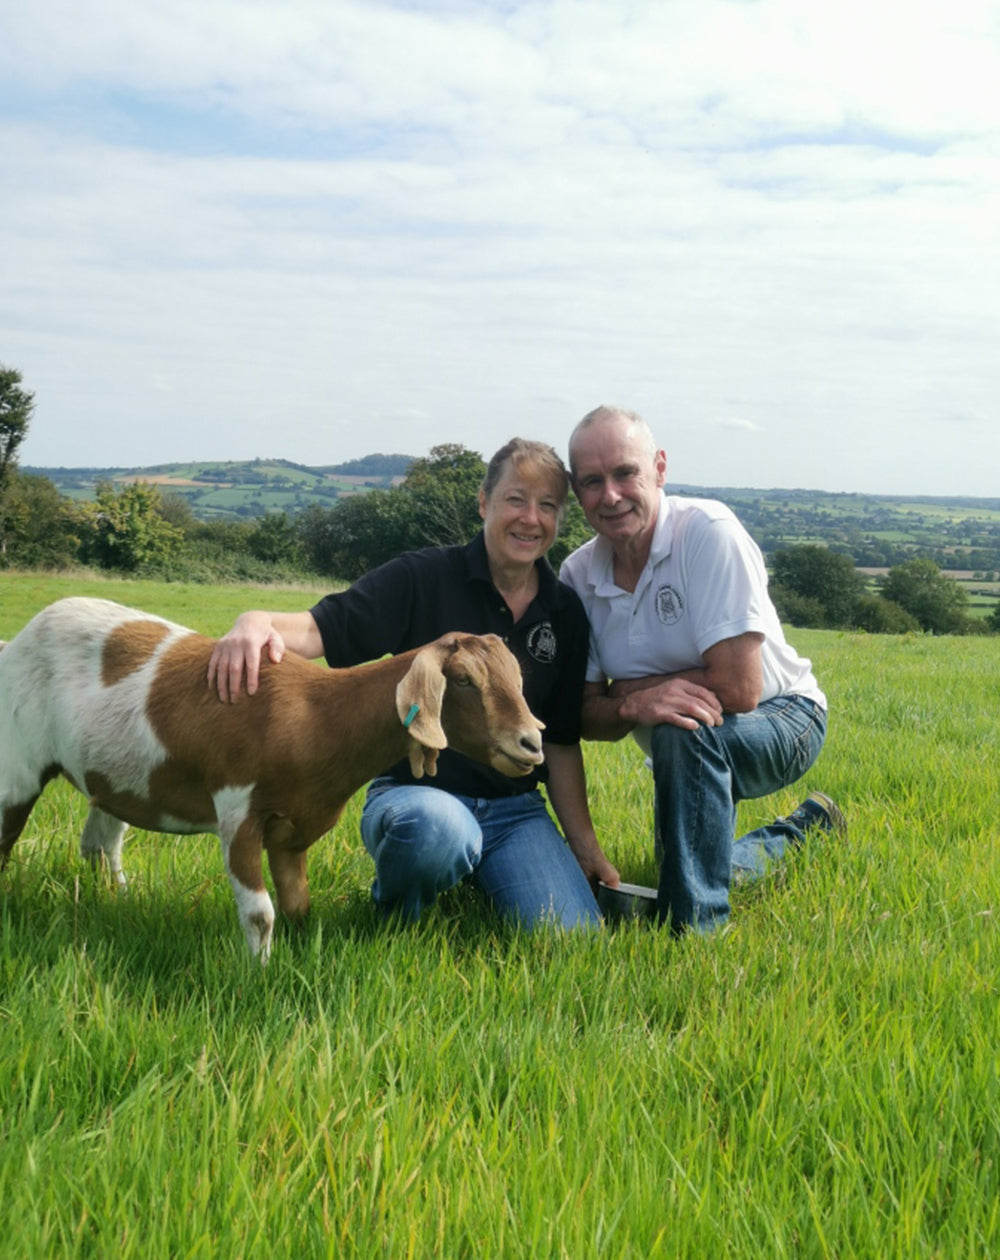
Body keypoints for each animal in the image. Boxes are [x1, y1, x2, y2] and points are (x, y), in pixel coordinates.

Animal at [1, 594, 546, 957]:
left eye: (520, 678)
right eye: (463, 680)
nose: (531, 743)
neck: (315, 717)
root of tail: (16, 643)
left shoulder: (295, 830)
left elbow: (297, 905)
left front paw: (297, 961)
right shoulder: (238, 811)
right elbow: (260, 913)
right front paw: (257, 974)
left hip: (115, 775)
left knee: (100, 843)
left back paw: (115, 899)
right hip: (18, 765)